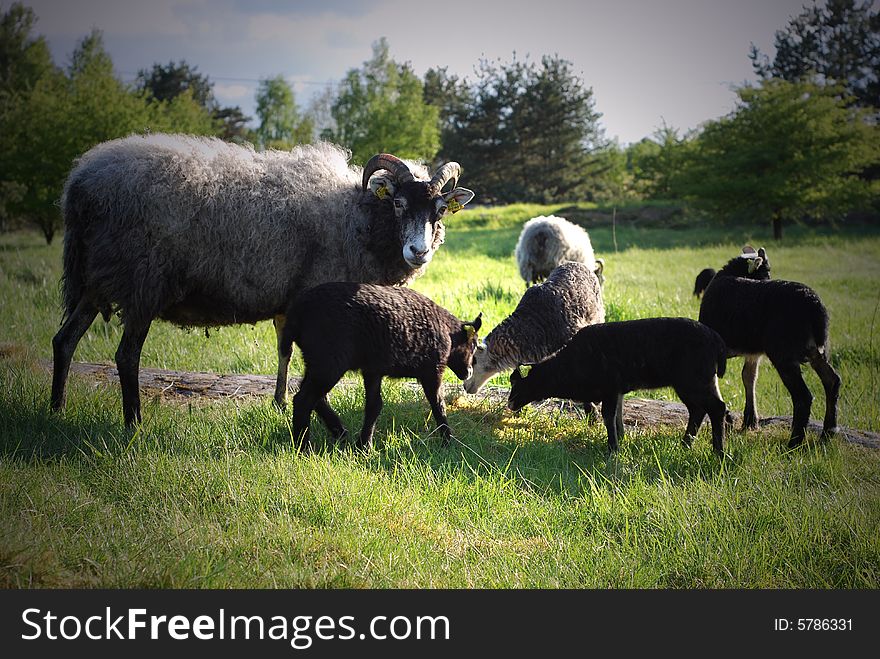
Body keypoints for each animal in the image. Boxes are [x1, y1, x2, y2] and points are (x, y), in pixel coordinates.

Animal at [51, 135, 474, 426]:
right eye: (398, 204)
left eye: (439, 211)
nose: (419, 251)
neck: (358, 218)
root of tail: (80, 184)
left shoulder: (293, 302)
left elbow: (284, 349)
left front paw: (279, 402)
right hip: (142, 283)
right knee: (126, 355)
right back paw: (133, 424)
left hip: (96, 280)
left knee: (64, 340)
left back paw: (56, 410)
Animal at [278, 282, 482, 452]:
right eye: (473, 345)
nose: (469, 372)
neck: (447, 332)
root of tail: (297, 312)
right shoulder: (433, 370)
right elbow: (438, 405)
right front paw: (448, 441)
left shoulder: (373, 370)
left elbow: (374, 405)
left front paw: (364, 446)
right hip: (329, 360)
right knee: (304, 399)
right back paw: (303, 447)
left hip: (315, 360)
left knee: (312, 395)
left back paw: (339, 431)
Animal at [508, 318, 728, 454]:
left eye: (517, 384)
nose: (509, 404)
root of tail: (717, 340)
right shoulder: (617, 391)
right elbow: (617, 417)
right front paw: (619, 441)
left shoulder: (610, 389)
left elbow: (609, 417)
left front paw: (613, 448)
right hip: (691, 384)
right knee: (698, 410)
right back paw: (685, 445)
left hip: (695, 380)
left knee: (717, 408)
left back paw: (719, 452)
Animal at [696, 248, 840, 448]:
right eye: (764, 274)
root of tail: (815, 306)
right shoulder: (753, 352)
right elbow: (749, 377)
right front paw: (749, 420)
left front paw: (730, 418)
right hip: (817, 350)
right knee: (832, 380)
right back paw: (828, 431)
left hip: (783, 352)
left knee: (803, 397)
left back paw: (794, 442)